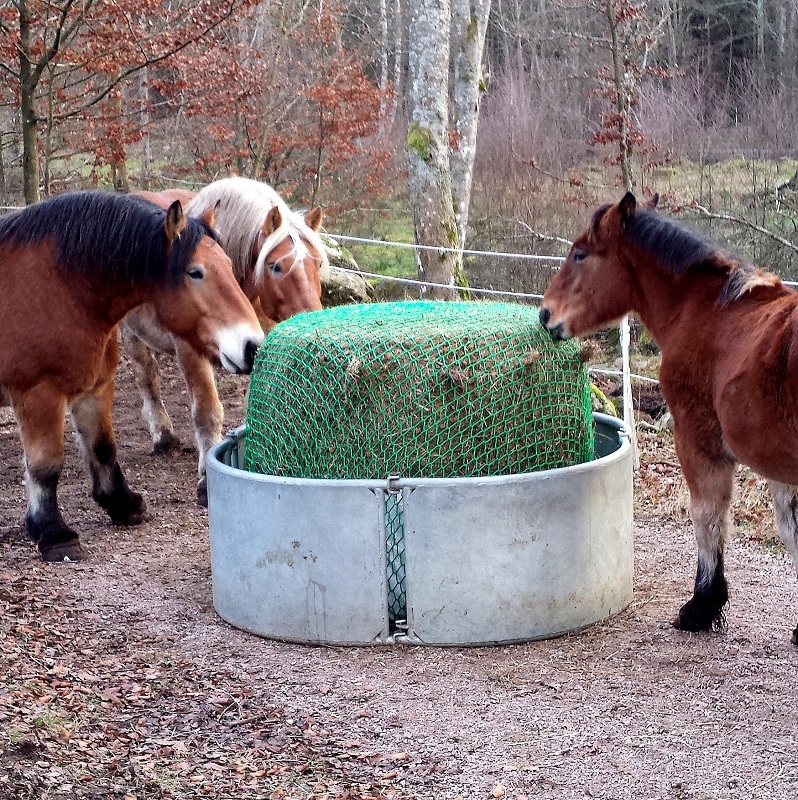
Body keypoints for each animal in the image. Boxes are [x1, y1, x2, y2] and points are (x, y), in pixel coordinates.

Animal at [0, 191, 262, 564]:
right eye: (195, 272)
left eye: (228, 265)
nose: (252, 346)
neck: (58, 289)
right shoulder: (38, 394)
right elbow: (45, 465)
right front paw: (54, 533)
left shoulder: (95, 387)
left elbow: (102, 447)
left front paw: (122, 505)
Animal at [122, 179, 328, 506]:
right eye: (275, 266)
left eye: (317, 264)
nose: (313, 321)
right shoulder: (190, 350)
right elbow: (207, 411)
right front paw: (206, 481)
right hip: (130, 336)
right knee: (147, 378)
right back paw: (163, 436)